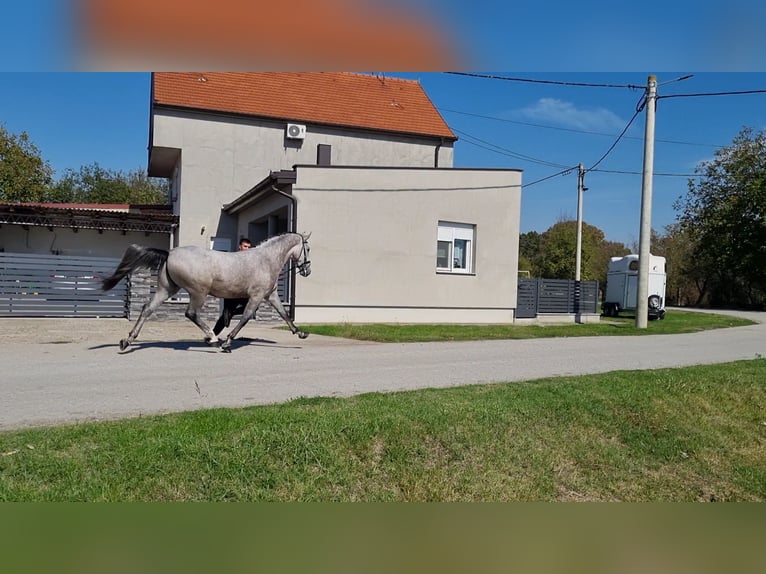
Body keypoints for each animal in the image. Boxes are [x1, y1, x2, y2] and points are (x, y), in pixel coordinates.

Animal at [102, 233, 312, 352]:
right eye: (308, 248)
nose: (307, 270)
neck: (266, 260)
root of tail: (170, 253)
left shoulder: (271, 295)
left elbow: (284, 314)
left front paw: (301, 333)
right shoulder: (257, 296)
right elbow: (245, 317)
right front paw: (227, 343)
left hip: (166, 289)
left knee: (147, 309)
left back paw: (127, 341)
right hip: (199, 292)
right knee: (191, 313)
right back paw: (213, 339)